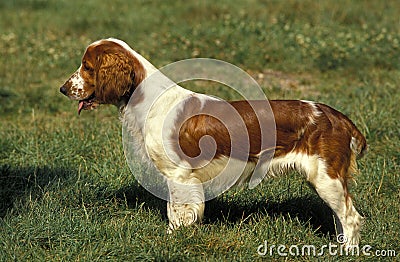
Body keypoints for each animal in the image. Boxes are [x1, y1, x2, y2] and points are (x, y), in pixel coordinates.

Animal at [59, 38, 366, 246]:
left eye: (87, 67)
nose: (62, 88)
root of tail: (339, 118)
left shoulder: (179, 174)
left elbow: (176, 210)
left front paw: (173, 237)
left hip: (326, 177)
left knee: (351, 217)